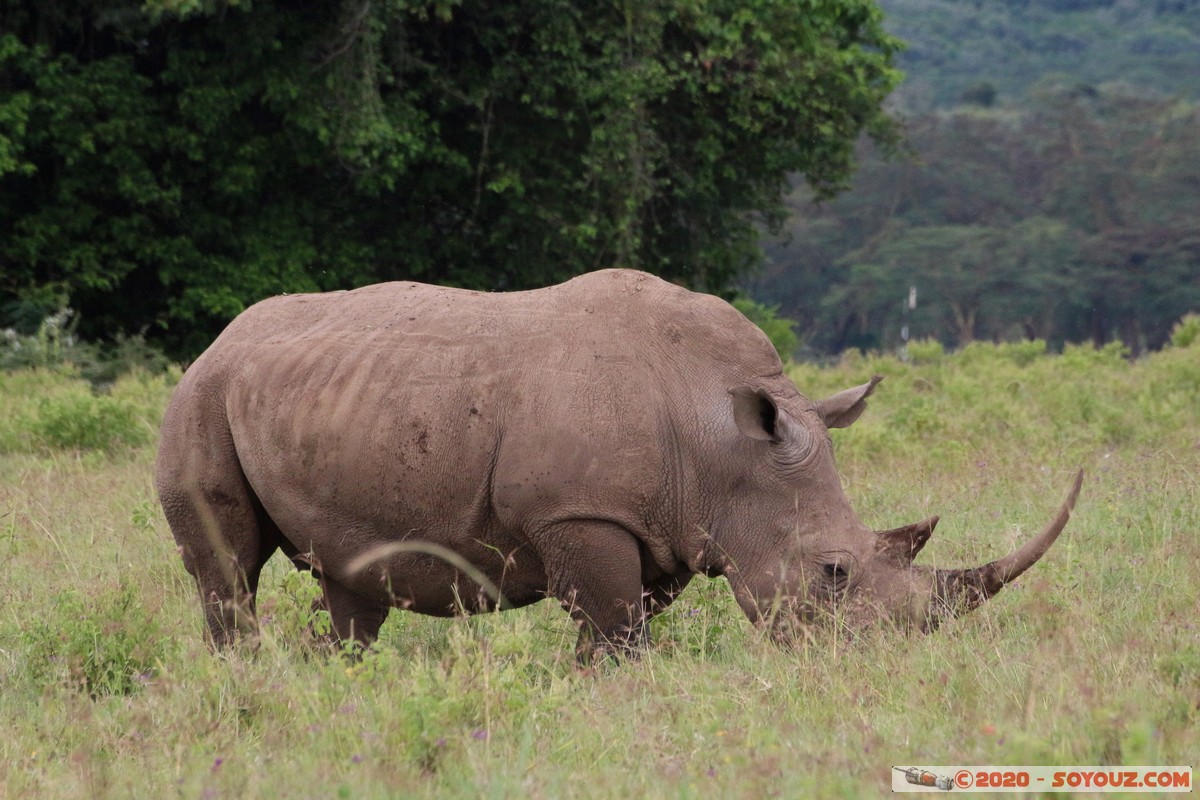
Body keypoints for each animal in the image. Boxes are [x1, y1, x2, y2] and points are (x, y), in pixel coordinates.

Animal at [155, 269, 1082, 660]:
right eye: (833, 573)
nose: (882, 661)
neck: (718, 438)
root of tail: (219, 340)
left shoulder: (664, 525)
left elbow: (619, 624)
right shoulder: (579, 510)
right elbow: (616, 628)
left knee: (351, 589)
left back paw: (334, 680)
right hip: (201, 397)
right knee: (228, 575)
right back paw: (249, 677)